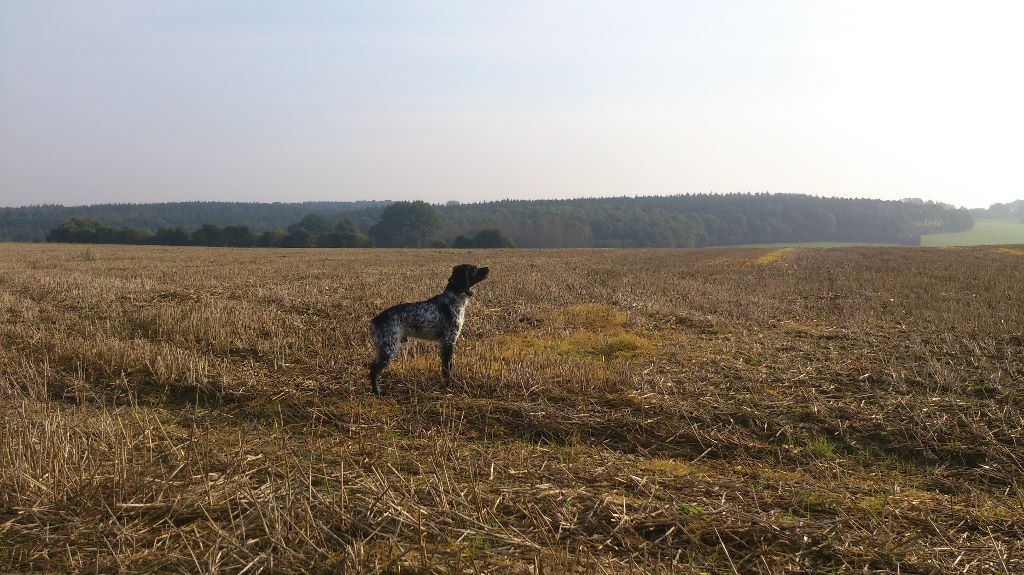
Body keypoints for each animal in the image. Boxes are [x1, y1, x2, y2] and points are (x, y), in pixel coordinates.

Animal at [370, 263, 489, 392]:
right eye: (474, 269)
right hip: (390, 347)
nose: (488, 268)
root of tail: (375, 320)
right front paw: (449, 386)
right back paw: (378, 392)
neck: (454, 296)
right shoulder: (449, 340)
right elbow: (448, 367)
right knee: (373, 370)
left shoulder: (445, 343)